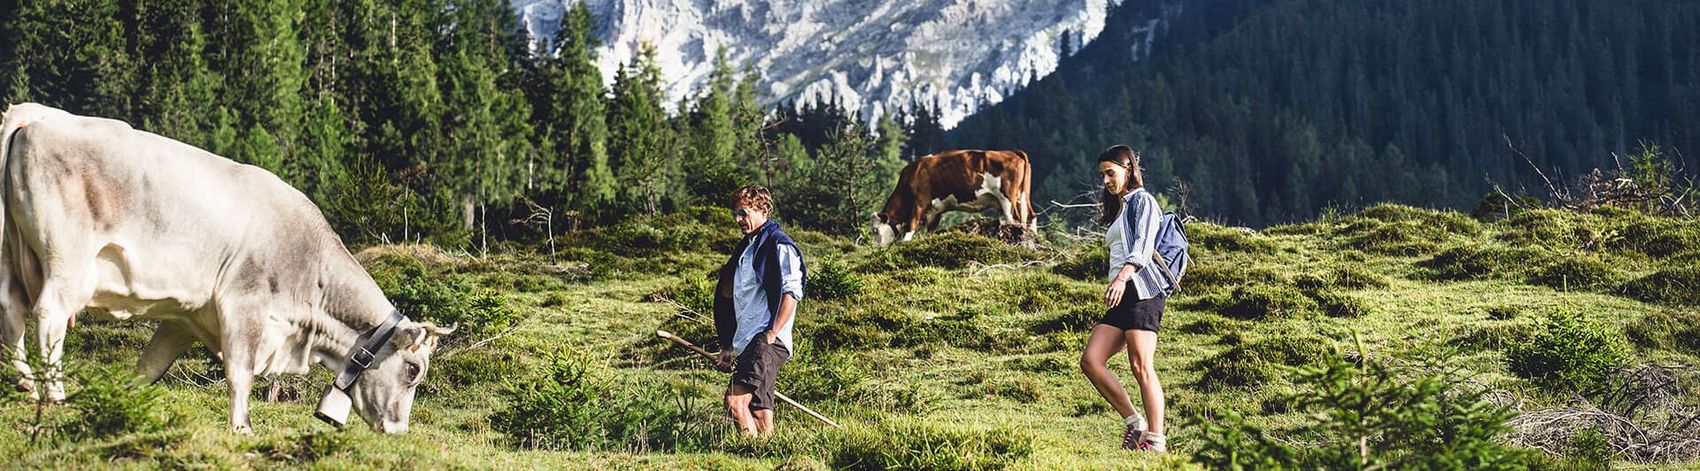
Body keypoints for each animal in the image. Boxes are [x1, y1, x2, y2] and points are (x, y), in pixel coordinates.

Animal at [0, 103, 452, 431]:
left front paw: (124, 402)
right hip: (67, 260)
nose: (398, 430)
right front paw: (242, 428)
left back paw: (25, 382)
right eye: (413, 370)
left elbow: (149, 367)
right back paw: (53, 394)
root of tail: (37, 113)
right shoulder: (244, 305)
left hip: (9, 253)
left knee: (12, 312)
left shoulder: (184, 318)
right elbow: (240, 373)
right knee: (48, 316)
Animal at [877, 148, 1033, 243]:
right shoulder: (936, 209)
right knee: (1030, 217)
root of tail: (1012, 152)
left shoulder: (919, 203)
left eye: (875, 230)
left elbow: (911, 227)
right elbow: (930, 230)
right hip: (1021, 197)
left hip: (1007, 198)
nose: (876, 248)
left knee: (1015, 220)